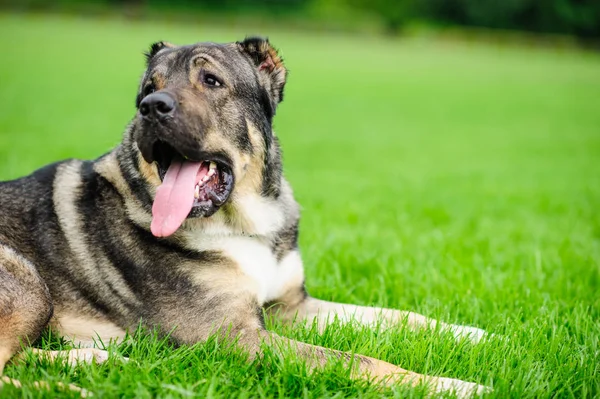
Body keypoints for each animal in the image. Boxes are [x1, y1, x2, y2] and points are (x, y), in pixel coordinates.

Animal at [1, 36, 492, 396]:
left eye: (212, 80)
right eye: (147, 88)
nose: (152, 106)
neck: (243, 225)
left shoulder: (290, 306)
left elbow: (398, 317)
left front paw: (476, 334)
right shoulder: (231, 334)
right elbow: (358, 360)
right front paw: (456, 386)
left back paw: (93, 359)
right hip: (27, 281)